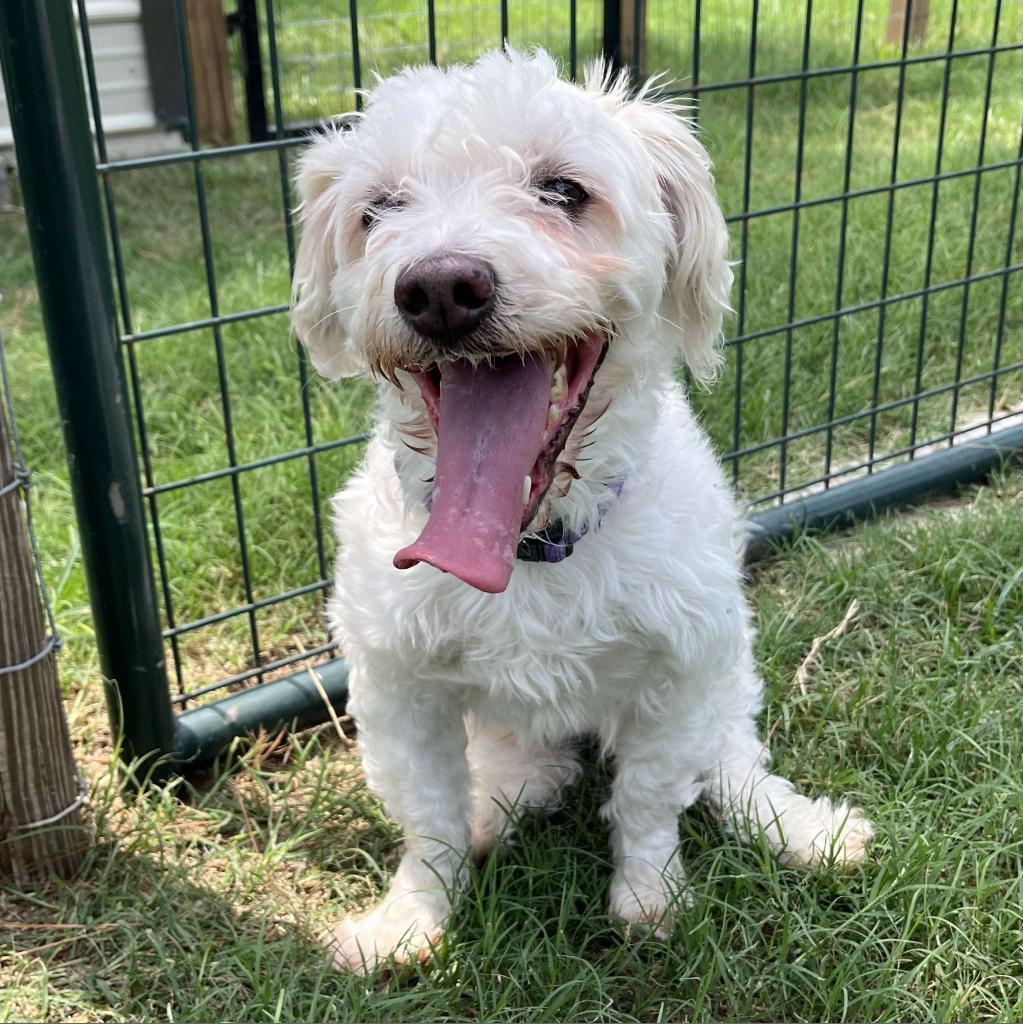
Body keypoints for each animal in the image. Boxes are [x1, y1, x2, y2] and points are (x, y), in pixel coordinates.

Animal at [288, 46, 872, 974]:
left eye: (564, 190)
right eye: (377, 210)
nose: (440, 287)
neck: (531, 550)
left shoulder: (678, 669)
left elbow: (649, 800)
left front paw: (649, 901)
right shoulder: (397, 686)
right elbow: (428, 819)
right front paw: (411, 921)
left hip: (727, 674)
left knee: (731, 759)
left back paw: (796, 828)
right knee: (516, 778)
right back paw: (496, 807)